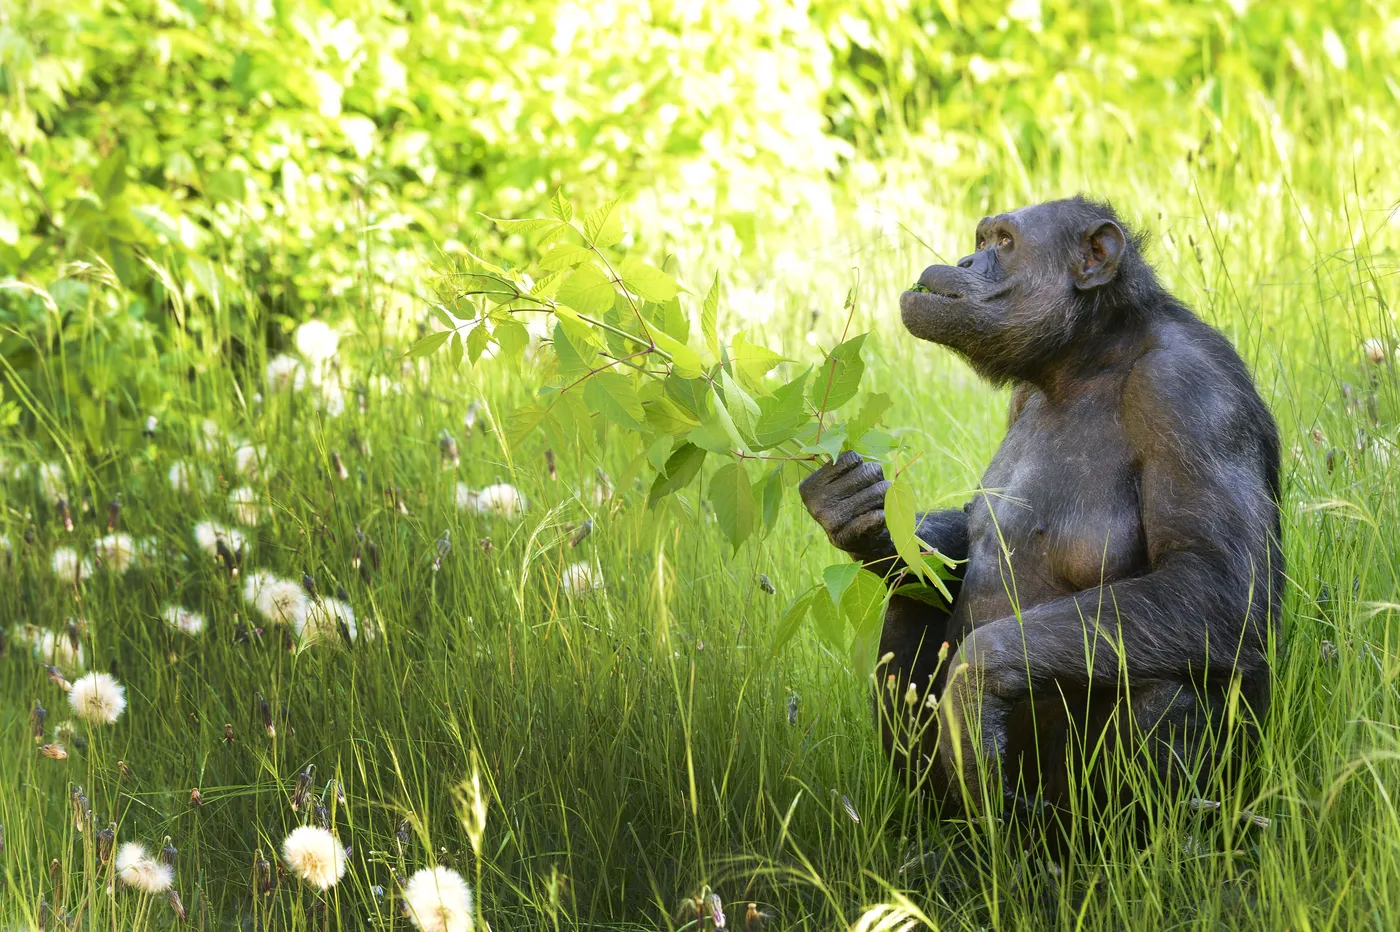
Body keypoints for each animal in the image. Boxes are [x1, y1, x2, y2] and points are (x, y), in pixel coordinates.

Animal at [799, 197, 1282, 832]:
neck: (1084, 361)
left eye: (1004, 242)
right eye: (982, 238)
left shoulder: (1192, 393)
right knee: (910, 600)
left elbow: (1218, 580)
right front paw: (853, 507)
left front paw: (974, 685)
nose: (965, 259)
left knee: (1170, 676)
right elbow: (959, 539)